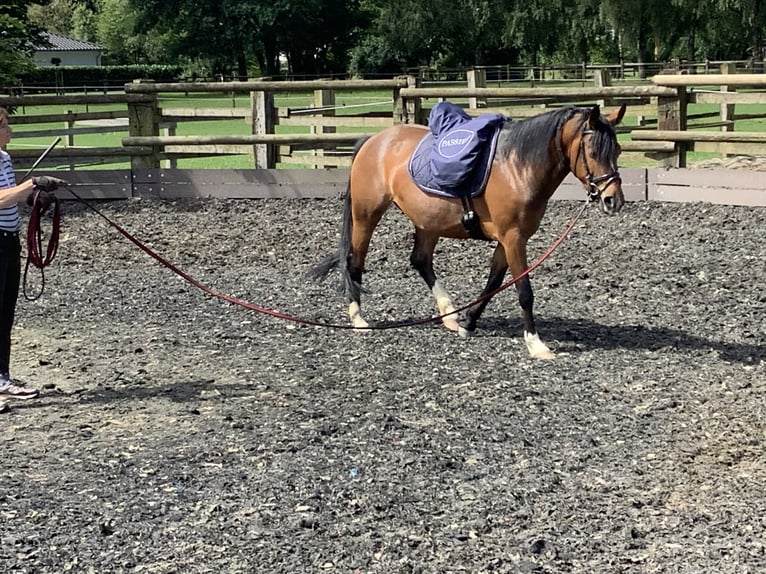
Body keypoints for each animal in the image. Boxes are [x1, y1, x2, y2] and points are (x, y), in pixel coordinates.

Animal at [314, 101, 632, 358]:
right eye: (593, 151)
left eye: (617, 149)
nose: (612, 200)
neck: (518, 166)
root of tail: (373, 140)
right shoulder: (513, 238)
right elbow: (524, 291)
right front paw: (536, 344)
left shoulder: (509, 239)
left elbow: (493, 283)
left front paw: (468, 323)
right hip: (366, 215)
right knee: (355, 261)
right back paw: (358, 319)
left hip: (428, 221)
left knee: (420, 260)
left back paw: (448, 314)